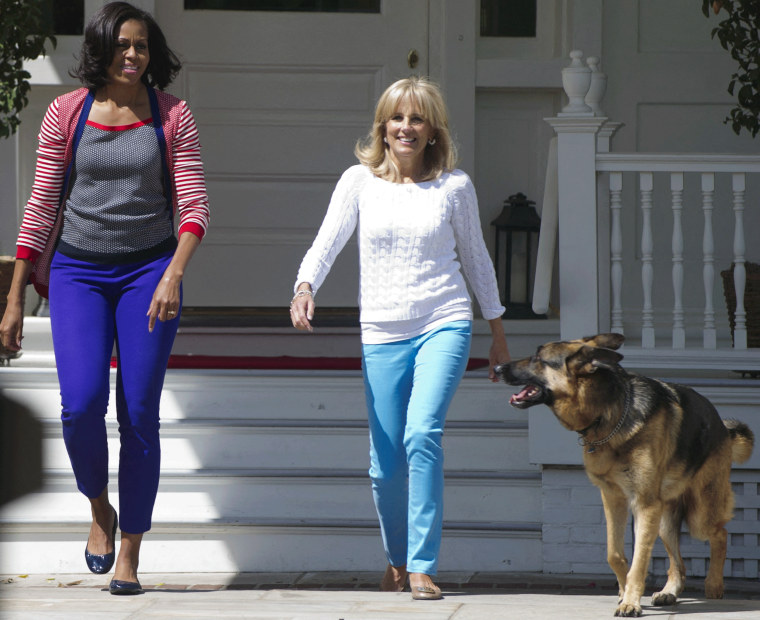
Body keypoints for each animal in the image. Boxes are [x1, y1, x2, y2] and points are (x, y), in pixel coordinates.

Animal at [496, 334, 752, 616]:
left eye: (538, 359)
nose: (496, 368)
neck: (609, 414)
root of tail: (722, 426)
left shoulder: (644, 505)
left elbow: (639, 560)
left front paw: (631, 601)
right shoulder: (613, 499)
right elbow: (615, 555)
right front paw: (623, 592)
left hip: (699, 513)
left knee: (720, 534)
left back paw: (714, 583)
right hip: (664, 520)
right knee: (679, 563)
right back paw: (669, 591)